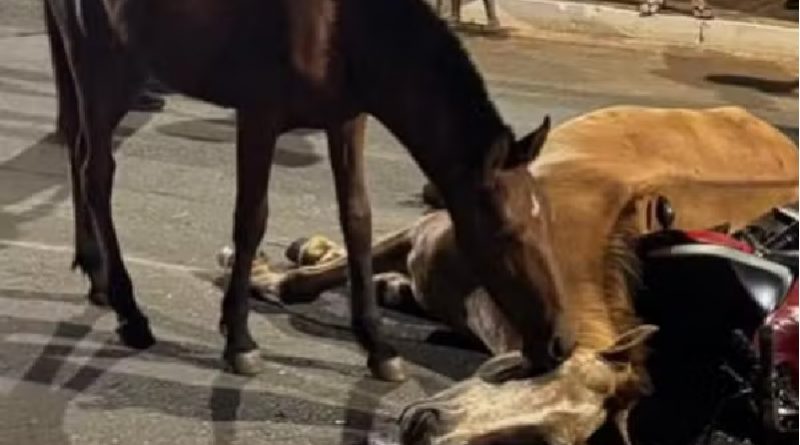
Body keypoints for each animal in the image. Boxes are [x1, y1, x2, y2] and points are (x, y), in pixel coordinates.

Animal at [42, 0, 571, 380]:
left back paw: (96, 275)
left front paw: (377, 345)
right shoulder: (259, 116)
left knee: (78, 150)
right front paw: (239, 339)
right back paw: (129, 312)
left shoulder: (346, 120)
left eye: (547, 220)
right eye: (506, 232)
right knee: (96, 172)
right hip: (104, 68)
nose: (562, 343)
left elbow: (357, 220)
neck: (342, 26)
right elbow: (251, 219)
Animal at [237, 106, 799, 444]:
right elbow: (320, 276)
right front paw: (265, 277)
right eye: (525, 369)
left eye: (532, 441)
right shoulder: (431, 228)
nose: (425, 426)